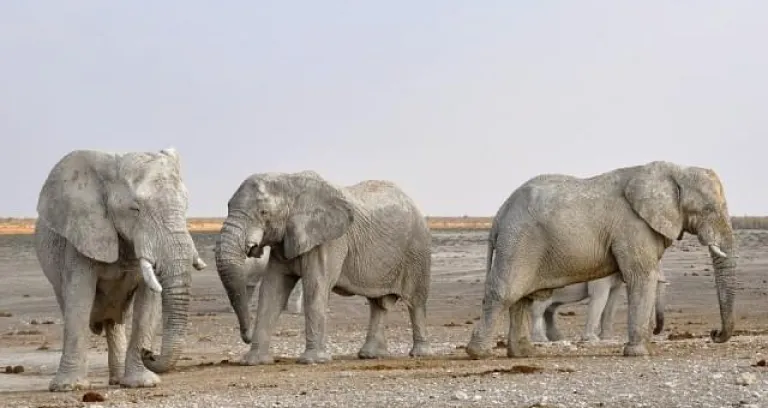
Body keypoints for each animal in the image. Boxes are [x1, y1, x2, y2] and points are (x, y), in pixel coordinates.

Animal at [34, 148, 206, 390]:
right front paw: (69, 387)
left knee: (114, 322)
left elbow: (148, 303)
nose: (149, 352)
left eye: (186, 207)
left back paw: (118, 380)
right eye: (135, 209)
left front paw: (143, 383)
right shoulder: (82, 236)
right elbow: (79, 298)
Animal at [214, 171, 432, 364]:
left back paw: (419, 354)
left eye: (263, 212)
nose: (247, 335)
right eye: (228, 206)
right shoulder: (285, 240)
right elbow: (272, 290)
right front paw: (254, 361)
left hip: (417, 250)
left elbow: (315, 286)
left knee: (416, 302)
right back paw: (371, 355)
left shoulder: (329, 240)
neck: (289, 182)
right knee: (378, 305)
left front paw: (313, 361)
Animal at [532, 270, 668, 344]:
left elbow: (611, 301)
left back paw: (557, 339)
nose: (655, 331)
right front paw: (592, 339)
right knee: (539, 309)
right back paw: (541, 340)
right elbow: (599, 297)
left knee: (549, 310)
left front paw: (606, 338)